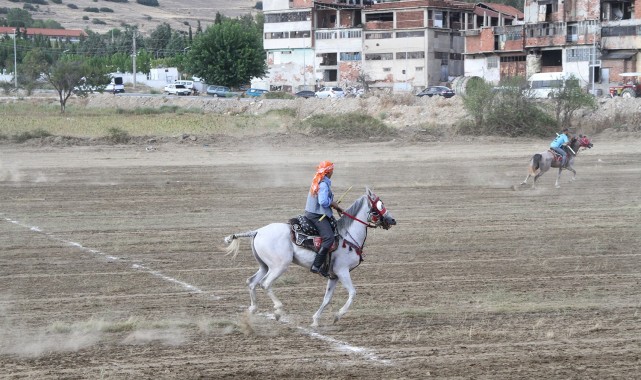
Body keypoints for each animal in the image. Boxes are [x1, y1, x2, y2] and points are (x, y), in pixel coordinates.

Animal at [225, 187, 396, 326]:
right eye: (380, 205)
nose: (392, 220)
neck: (347, 235)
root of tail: (257, 231)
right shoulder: (342, 271)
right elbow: (352, 293)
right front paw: (338, 316)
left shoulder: (333, 276)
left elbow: (326, 299)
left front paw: (315, 320)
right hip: (279, 266)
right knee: (265, 284)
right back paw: (278, 311)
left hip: (264, 266)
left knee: (252, 282)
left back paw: (253, 309)